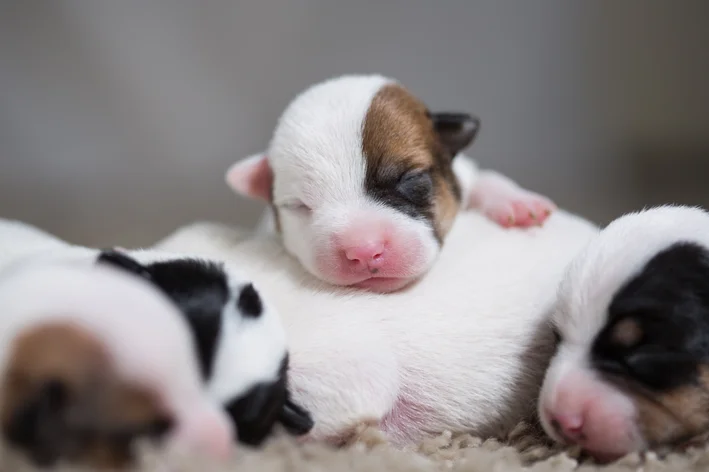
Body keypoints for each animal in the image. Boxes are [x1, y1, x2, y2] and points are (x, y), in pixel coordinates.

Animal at [227, 74, 560, 292]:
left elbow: (486, 178)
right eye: (298, 206)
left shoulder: (464, 171)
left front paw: (517, 203)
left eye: (409, 179)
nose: (363, 251)